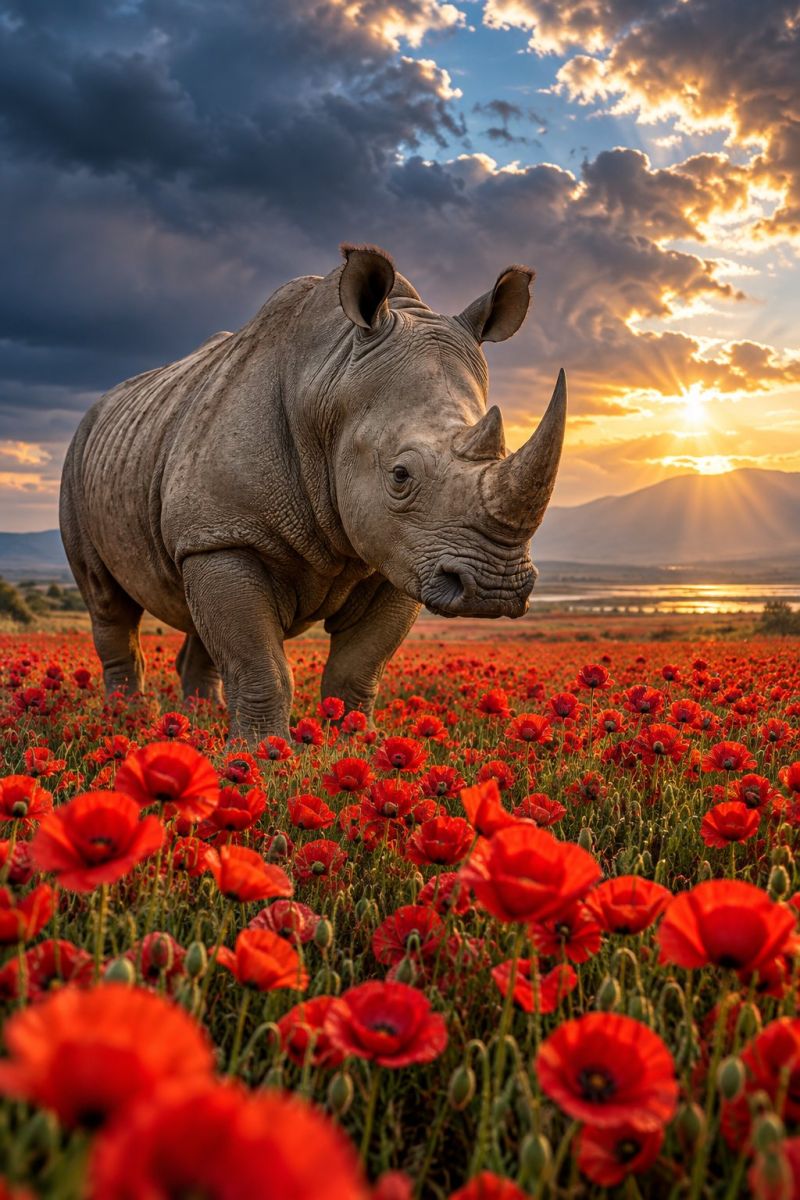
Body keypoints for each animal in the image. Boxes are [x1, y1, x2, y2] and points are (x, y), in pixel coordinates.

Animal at [60, 244, 566, 742]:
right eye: (400, 475)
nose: (495, 589)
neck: (328, 383)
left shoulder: (402, 555)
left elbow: (358, 667)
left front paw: (357, 744)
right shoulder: (226, 534)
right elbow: (260, 665)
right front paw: (260, 754)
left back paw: (197, 720)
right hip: (80, 459)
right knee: (108, 605)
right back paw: (127, 722)